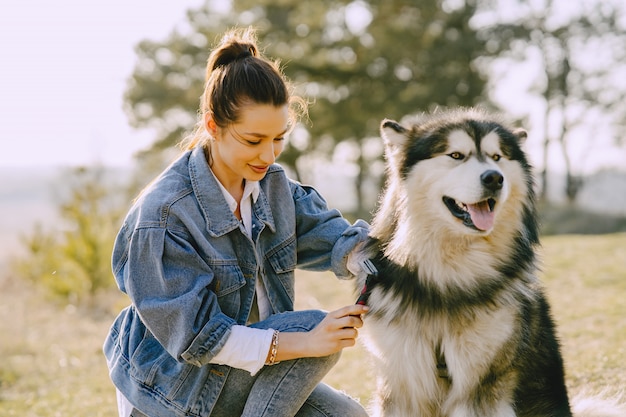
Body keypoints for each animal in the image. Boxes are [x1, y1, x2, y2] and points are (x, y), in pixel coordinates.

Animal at [356, 108, 624, 416]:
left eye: (497, 157)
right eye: (456, 155)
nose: (495, 178)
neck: (449, 274)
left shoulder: (482, 387)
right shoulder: (402, 383)